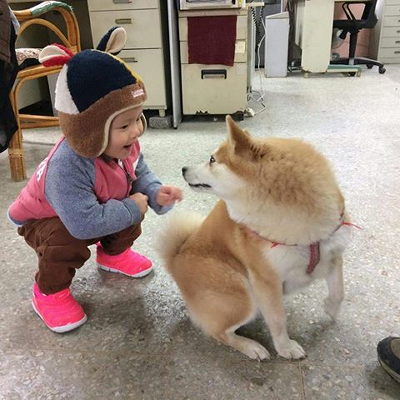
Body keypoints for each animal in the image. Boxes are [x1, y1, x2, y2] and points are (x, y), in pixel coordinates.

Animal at [158, 116, 352, 360]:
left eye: (212, 159)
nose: (183, 168)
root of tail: (177, 258)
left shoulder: (333, 252)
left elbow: (339, 292)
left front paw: (330, 309)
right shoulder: (266, 279)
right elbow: (278, 319)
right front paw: (285, 347)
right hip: (242, 295)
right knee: (221, 333)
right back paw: (251, 346)